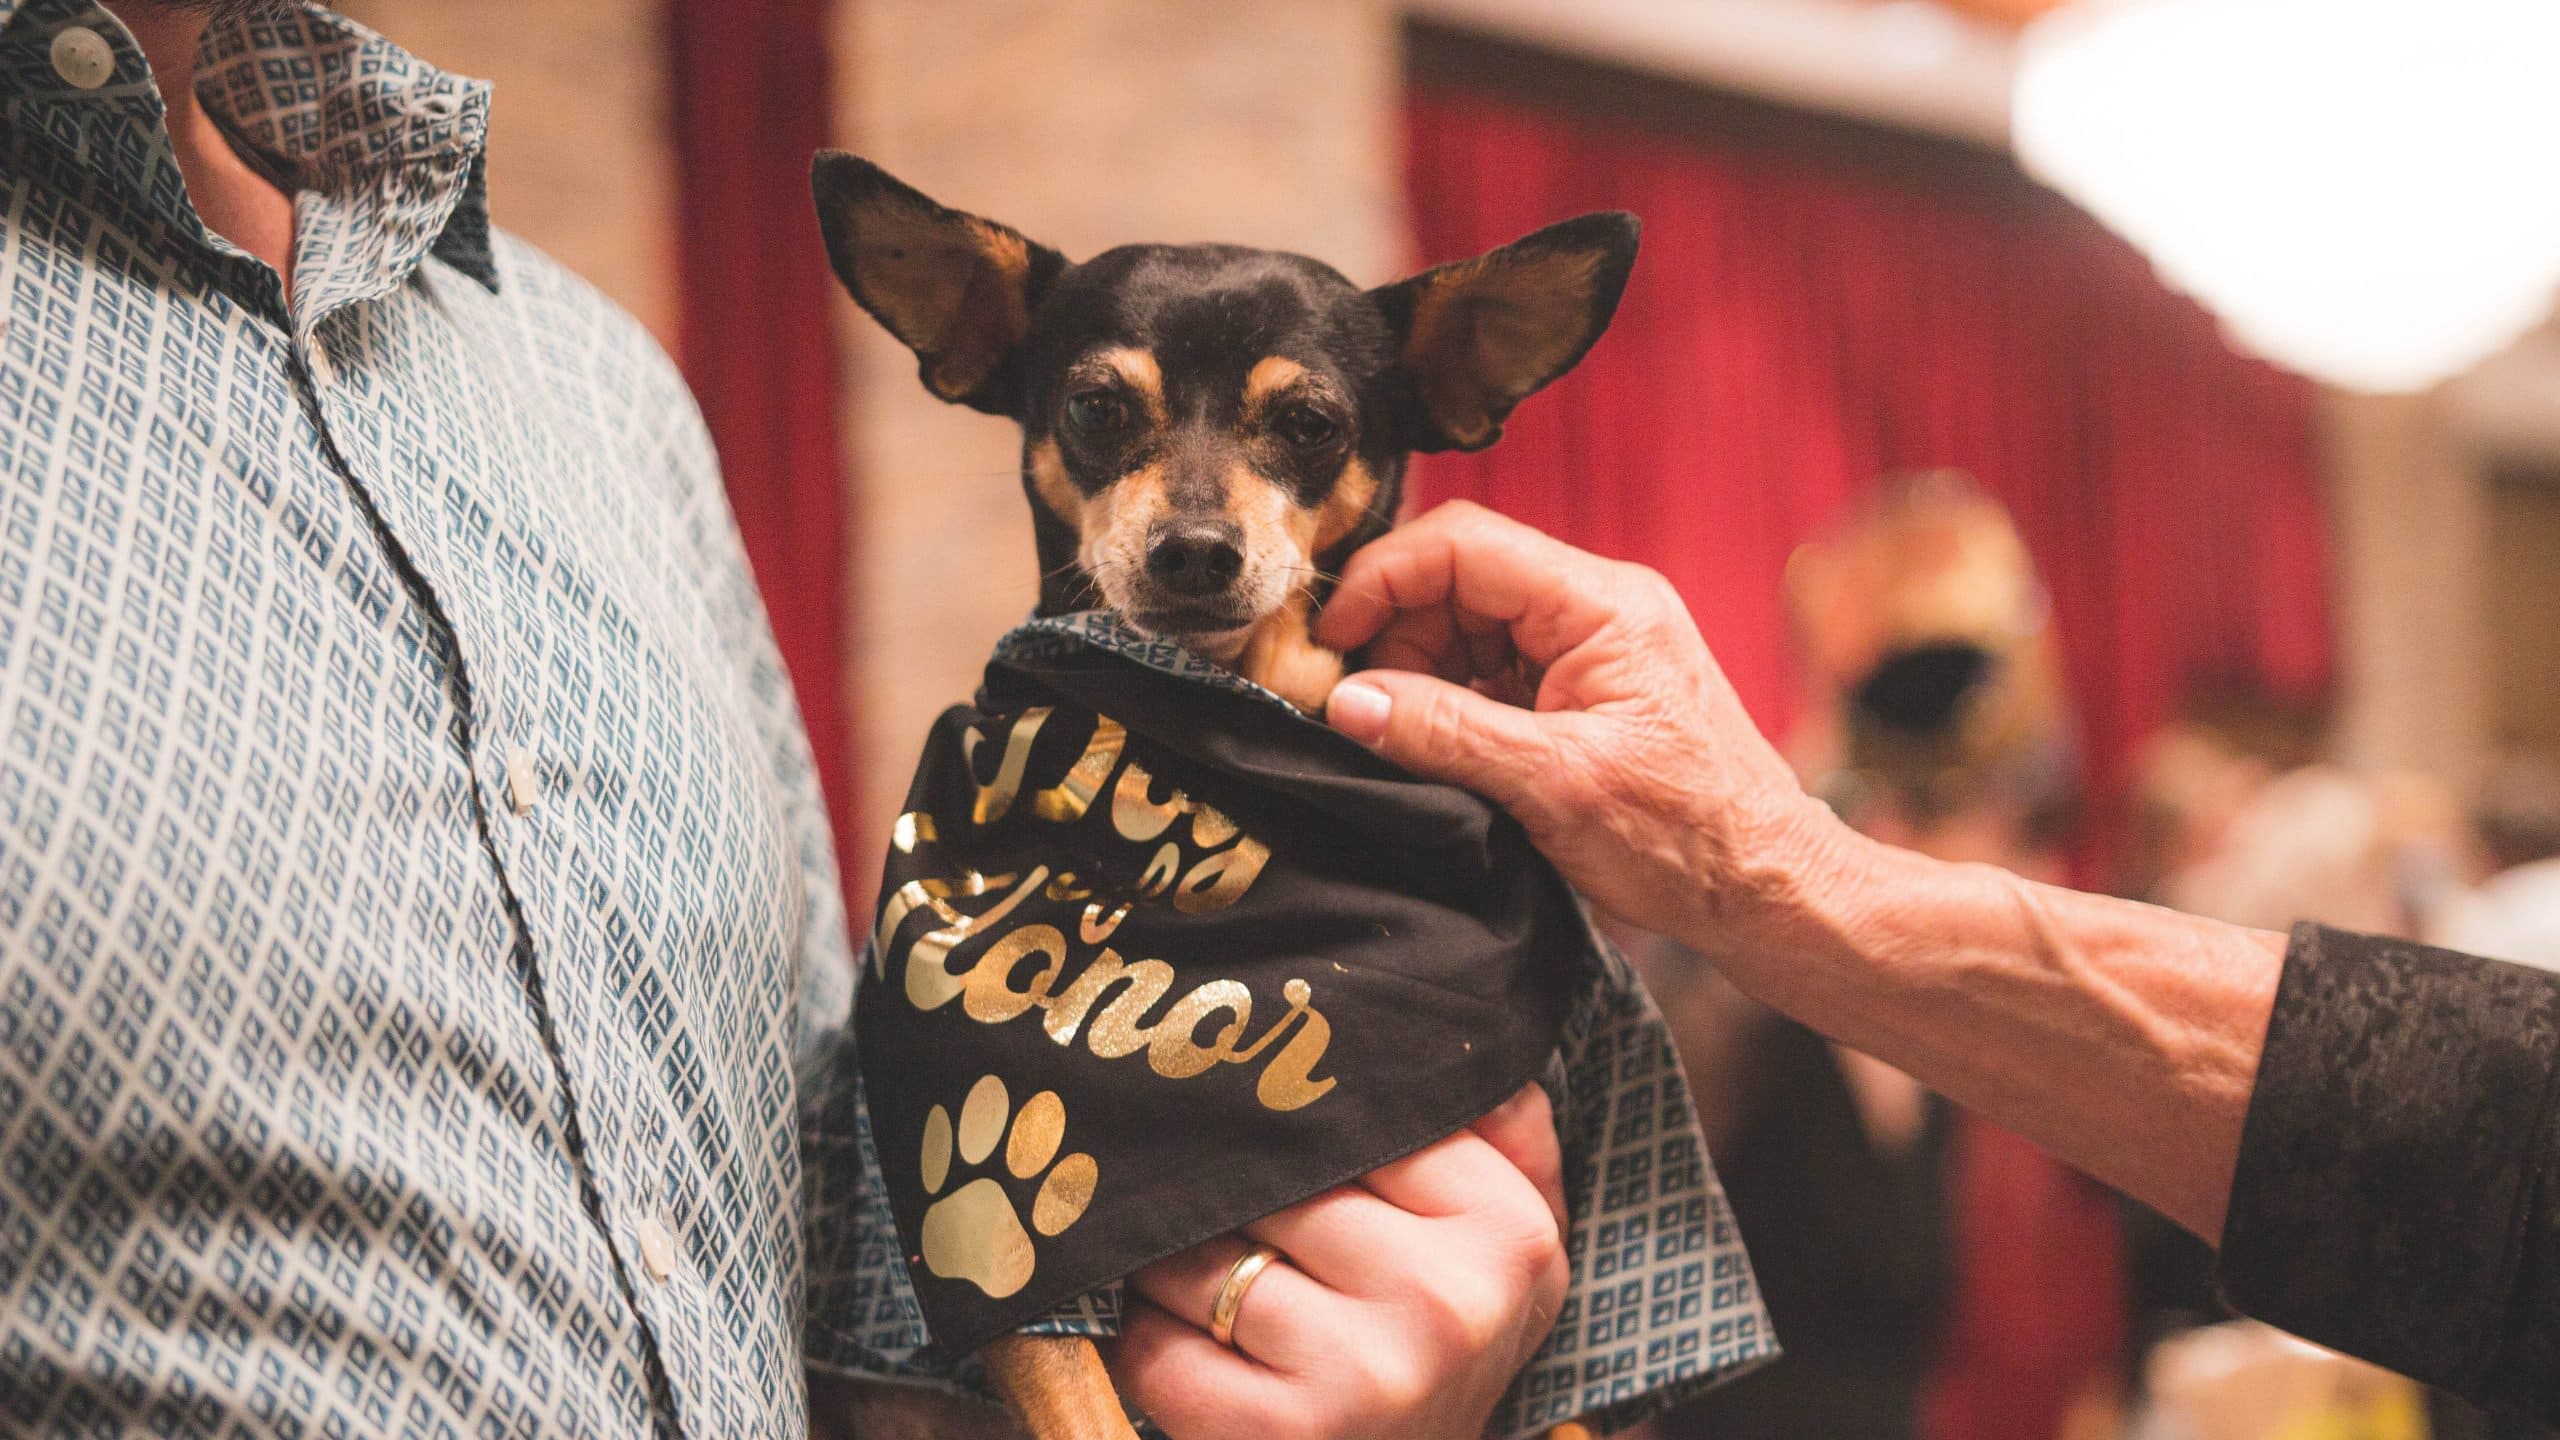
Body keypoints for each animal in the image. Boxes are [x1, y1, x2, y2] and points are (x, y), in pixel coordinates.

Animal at [808, 148, 1628, 1434]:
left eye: (1310, 425)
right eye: (1095, 409)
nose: (1194, 549)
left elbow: (1577, 1407)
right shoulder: (1034, 1306)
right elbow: (1080, 1402)